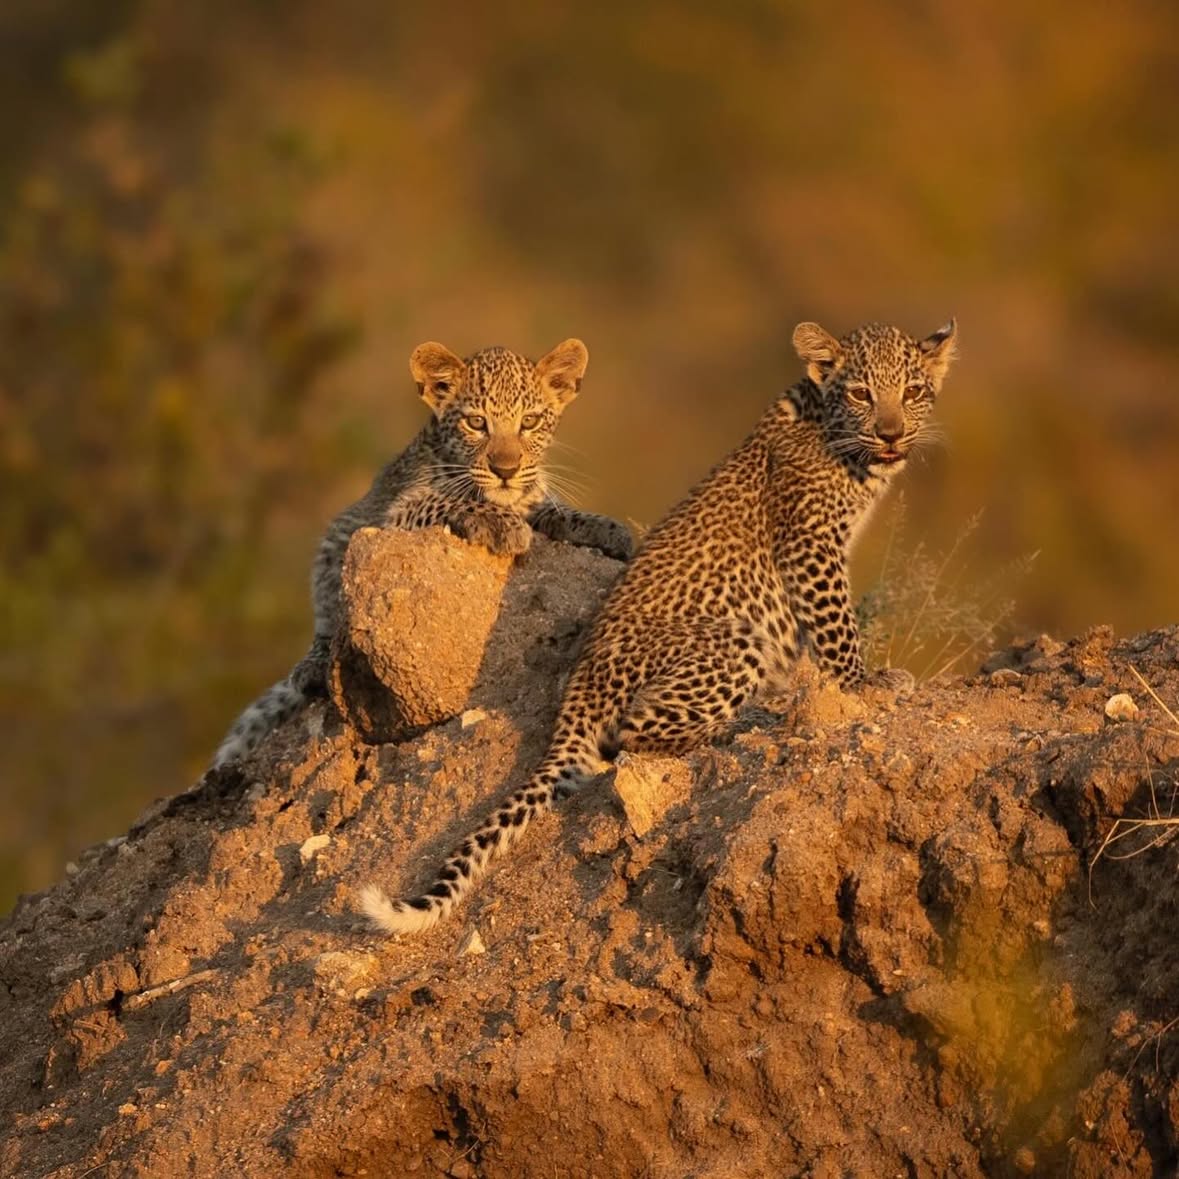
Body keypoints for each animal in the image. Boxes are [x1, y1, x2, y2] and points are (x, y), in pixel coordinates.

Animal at [211, 337, 634, 769]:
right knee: (325, 623)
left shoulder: (533, 494)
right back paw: (312, 668)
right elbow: (449, 501)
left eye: (529, 423)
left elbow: (552, 506)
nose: (505, 470)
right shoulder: (397, 515)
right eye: (476, 423)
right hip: (336, 544)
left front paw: (609, 529)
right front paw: (504, 525)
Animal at [360, 318, 957, 935]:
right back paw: (751, 720)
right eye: (861, 393)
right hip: (733, 641)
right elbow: (837, 625)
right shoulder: (809, 545)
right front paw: (863, 683)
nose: (890, 434)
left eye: (913, 392)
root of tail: (577, 696)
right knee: (632, 736)